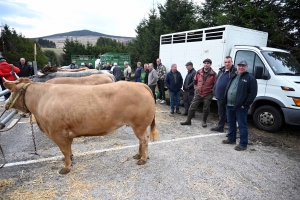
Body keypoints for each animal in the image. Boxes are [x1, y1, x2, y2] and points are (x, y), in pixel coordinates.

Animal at [4, 77, 159, 174]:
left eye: (11, 91)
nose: (6, 105)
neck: (42, 99)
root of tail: (140, 84)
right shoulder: (66, 133)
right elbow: (68, 150)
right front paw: (70, 159)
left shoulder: (57, 132)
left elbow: (64, 150)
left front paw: (66, 168)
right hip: (138, 125)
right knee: (141, 140)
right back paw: (138, 155)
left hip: (139, 124)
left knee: (144, 140)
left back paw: (143, 159)